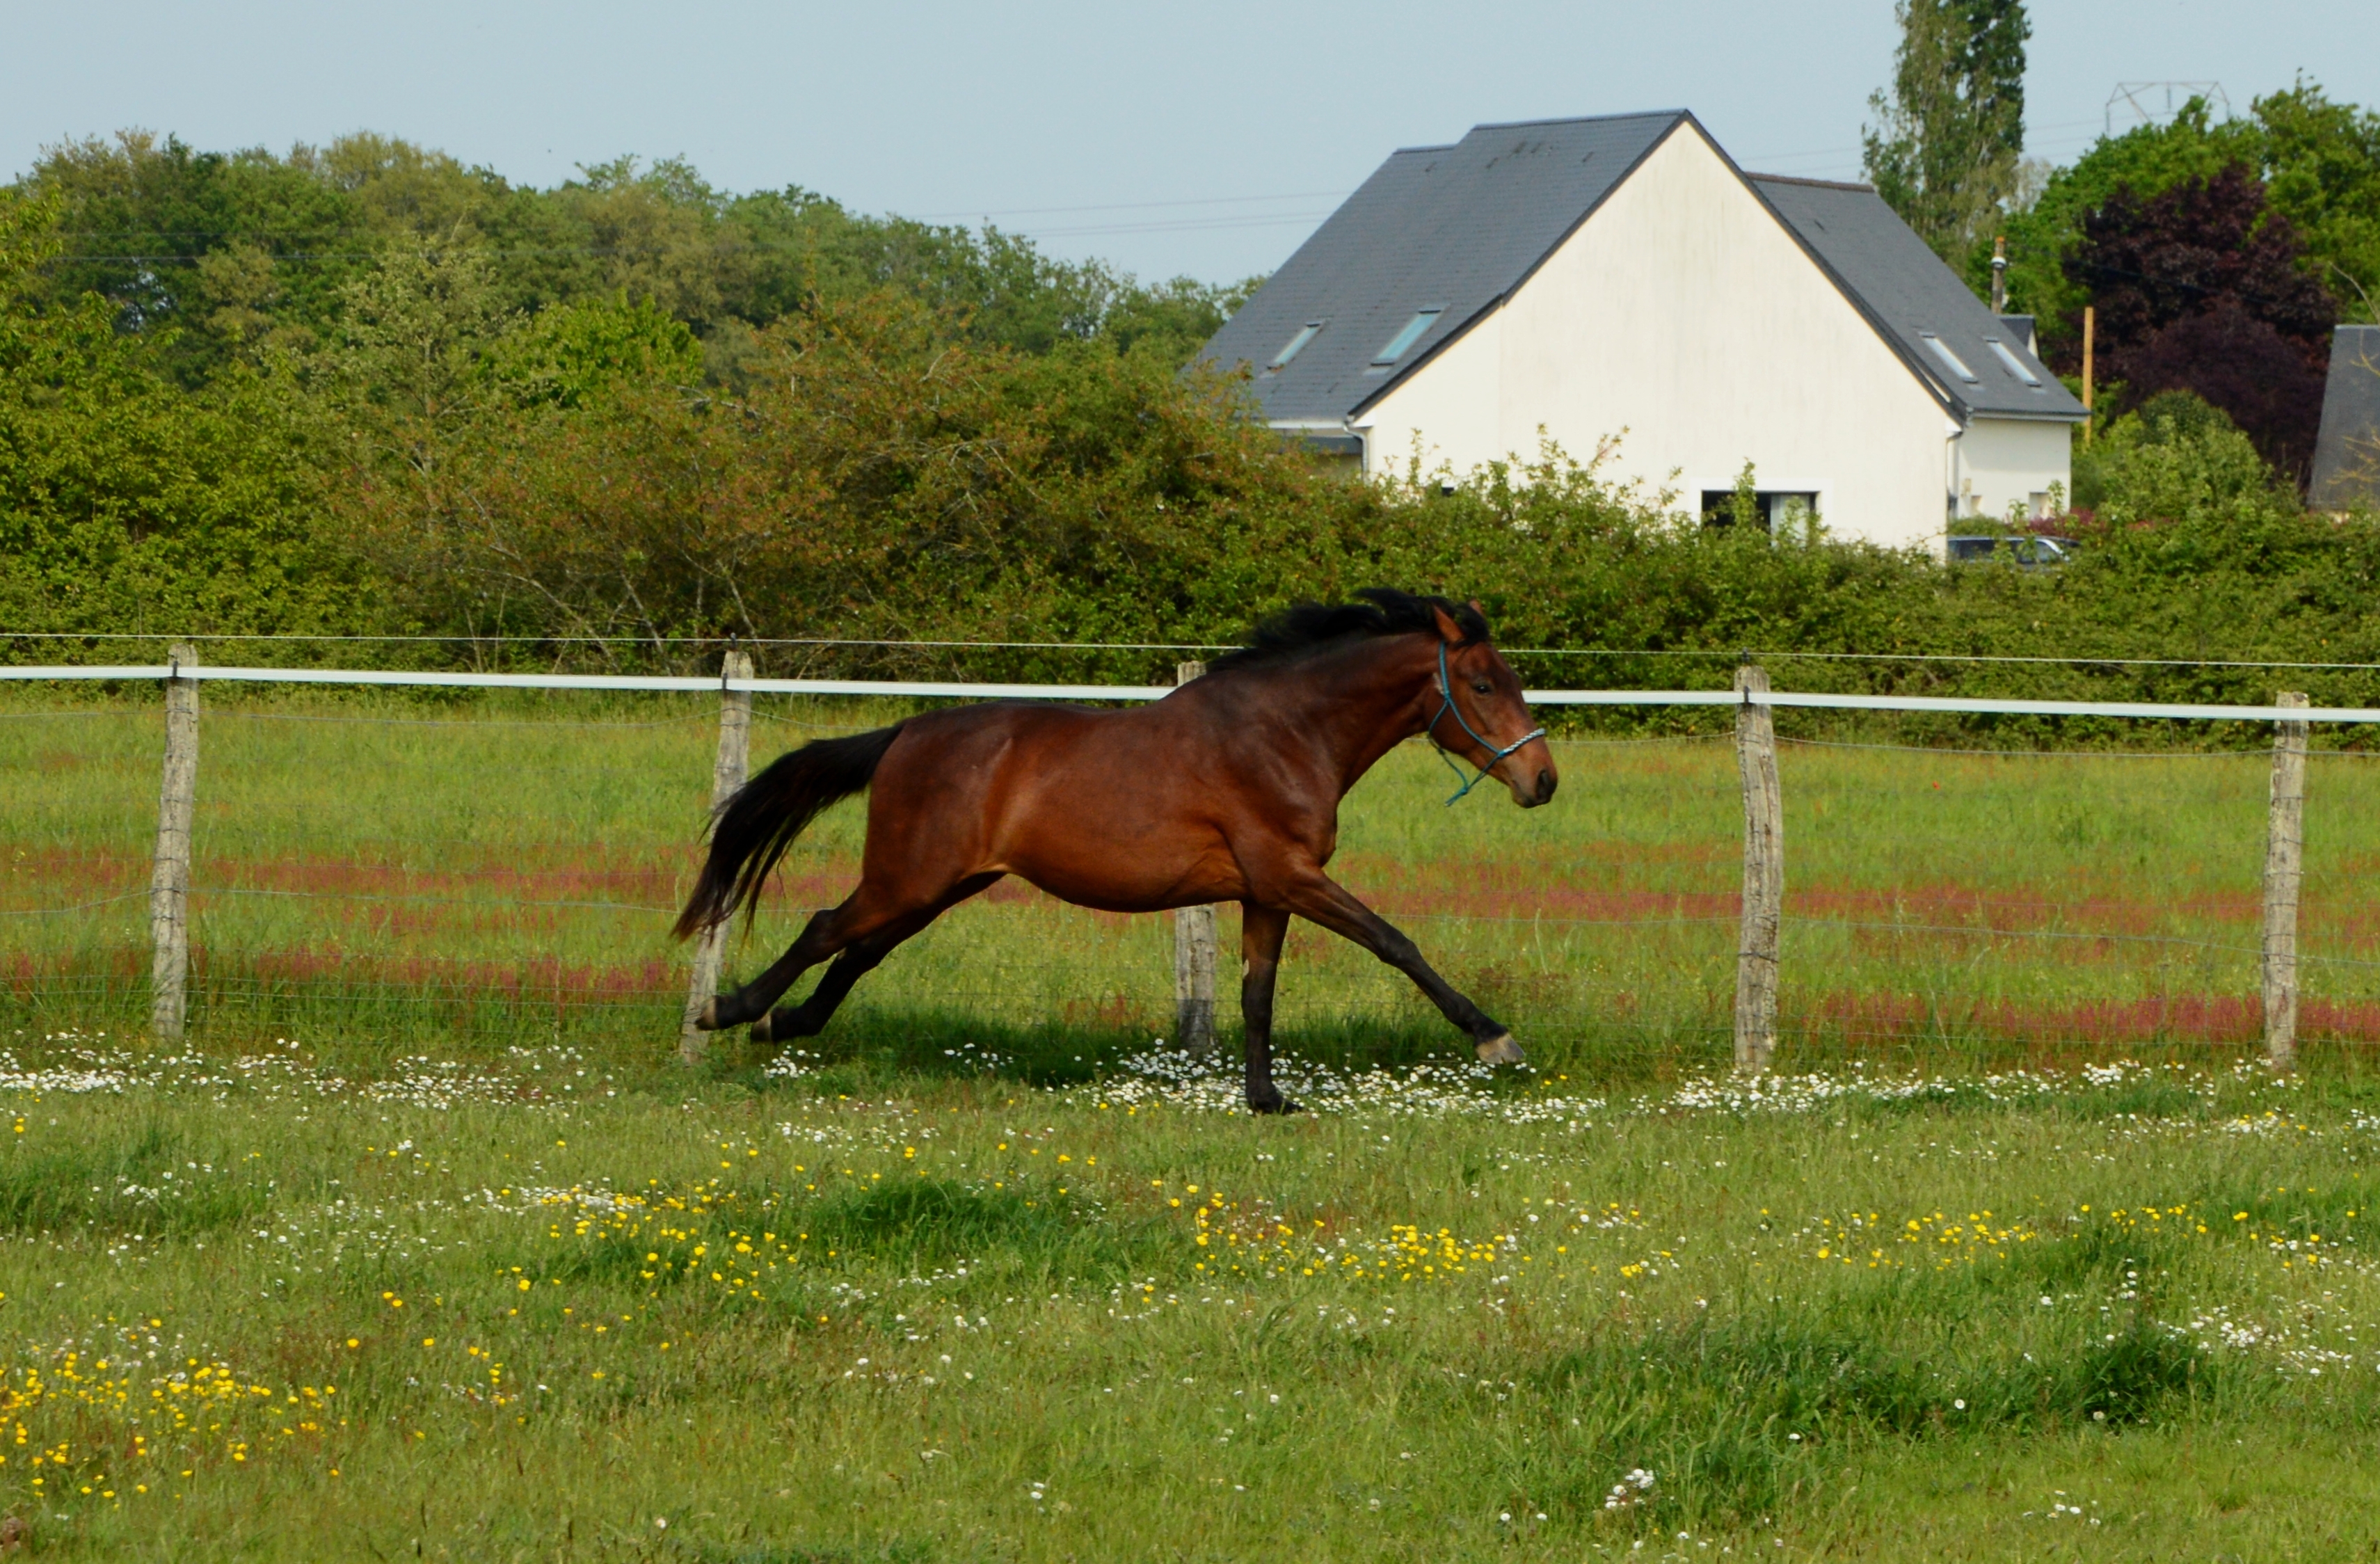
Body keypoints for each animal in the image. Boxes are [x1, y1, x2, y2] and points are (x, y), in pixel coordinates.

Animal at [675, 588, 1559, 1113]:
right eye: (1483, 684)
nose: (1543, 780)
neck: (1285, 733)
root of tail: (903, 734)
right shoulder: (1291, 876)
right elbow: (1395, 942)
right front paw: (1494, 1036)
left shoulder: (1264, 892)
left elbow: (1258, 994)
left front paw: (1265, 1099)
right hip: (907, 877)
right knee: (827, 927)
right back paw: (729, 1011)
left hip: (939, 886)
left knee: (859, 953)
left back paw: (782, 1021)